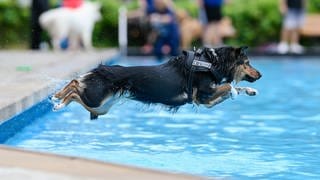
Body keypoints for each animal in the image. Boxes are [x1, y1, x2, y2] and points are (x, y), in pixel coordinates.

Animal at [52, 46, 262, 119]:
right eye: (247, 63)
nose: (260, 75)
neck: (212, 62)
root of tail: (102, 69)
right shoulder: (203, 95)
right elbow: (229, 85)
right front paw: (234, 91)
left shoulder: (207, 101)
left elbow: (235, 86)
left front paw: (250, 91)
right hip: (96, 99)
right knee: (74, 84)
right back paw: (57, 100)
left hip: (101, 106)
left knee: (77, 88)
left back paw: (58, 99)